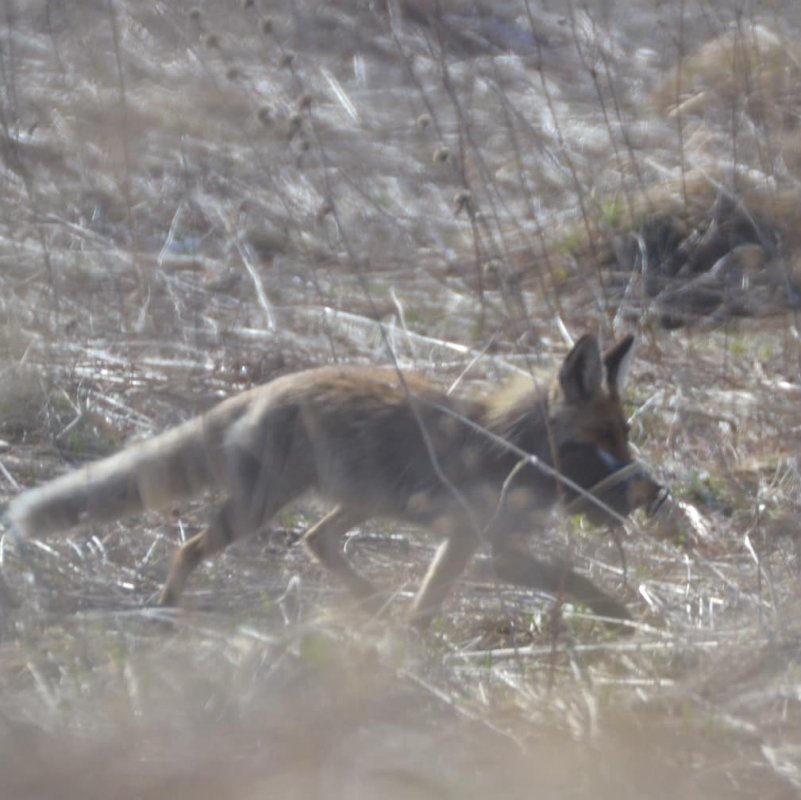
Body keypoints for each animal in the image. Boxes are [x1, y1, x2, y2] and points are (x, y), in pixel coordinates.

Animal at [8, 334, 661, 631]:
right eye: (600, 445)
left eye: (626, 436)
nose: (652, 493)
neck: (516, 449)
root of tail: (269, 387)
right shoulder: (483, 544)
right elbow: (574, 580)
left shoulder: (476, 541)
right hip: (259, 511)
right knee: (189, 547)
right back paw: (167, 611)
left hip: (360, 501)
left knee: (314, 540)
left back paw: (369, 604)